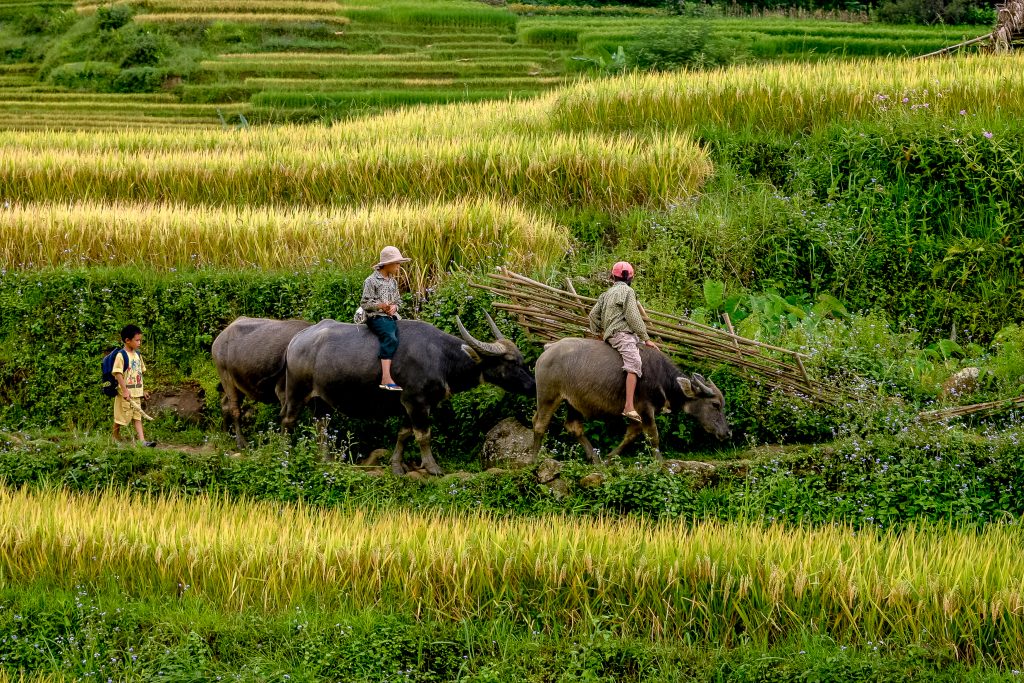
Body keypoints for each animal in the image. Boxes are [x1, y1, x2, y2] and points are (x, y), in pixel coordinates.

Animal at [211, 316, 312, 449]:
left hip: (238, 383)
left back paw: (225, 434)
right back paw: (241, 442)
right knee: (234, 409)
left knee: (225, 404)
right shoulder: (284, 391)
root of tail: (220, 337)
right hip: (226, 378)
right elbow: (288, 417)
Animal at [281, 314, 535, 476]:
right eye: (510, 362)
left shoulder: (408, 405)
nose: (533, 385)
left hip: (321, 401)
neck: (440, 358)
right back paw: (284, 454)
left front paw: (396, 466)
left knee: (321, 427)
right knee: (288, 421)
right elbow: (423, 435)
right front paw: (432, 467)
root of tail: (296, 341)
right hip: (296, 392)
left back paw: (325, 460)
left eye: (521, 359)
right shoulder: (417, 402)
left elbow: (403, 434)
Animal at [532, 338, 731, 463]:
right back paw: (533, 459)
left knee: (573, 427)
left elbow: (630, 436)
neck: (663, 377)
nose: (727, 433)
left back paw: (595, 459)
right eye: (715, 404)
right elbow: (653, 436)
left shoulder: (638, 415)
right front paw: (661, 463)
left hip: (573, 403)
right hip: (548, 396)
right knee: (540, 424)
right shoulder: (645, 409)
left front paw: (609, 459)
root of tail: (549, 349)